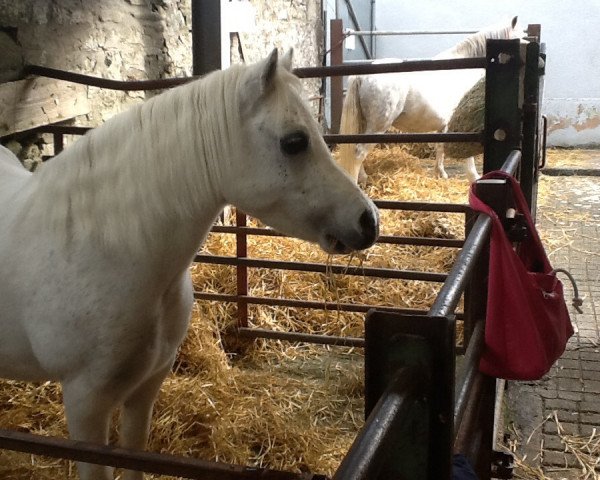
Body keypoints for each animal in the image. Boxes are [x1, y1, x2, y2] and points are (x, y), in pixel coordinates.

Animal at [338, 15, 520, 184]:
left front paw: (440, 173)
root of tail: (362, 75)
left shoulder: (444, 127)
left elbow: (440, 148)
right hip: (378, 126)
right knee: (359, 153)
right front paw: (473, 177)